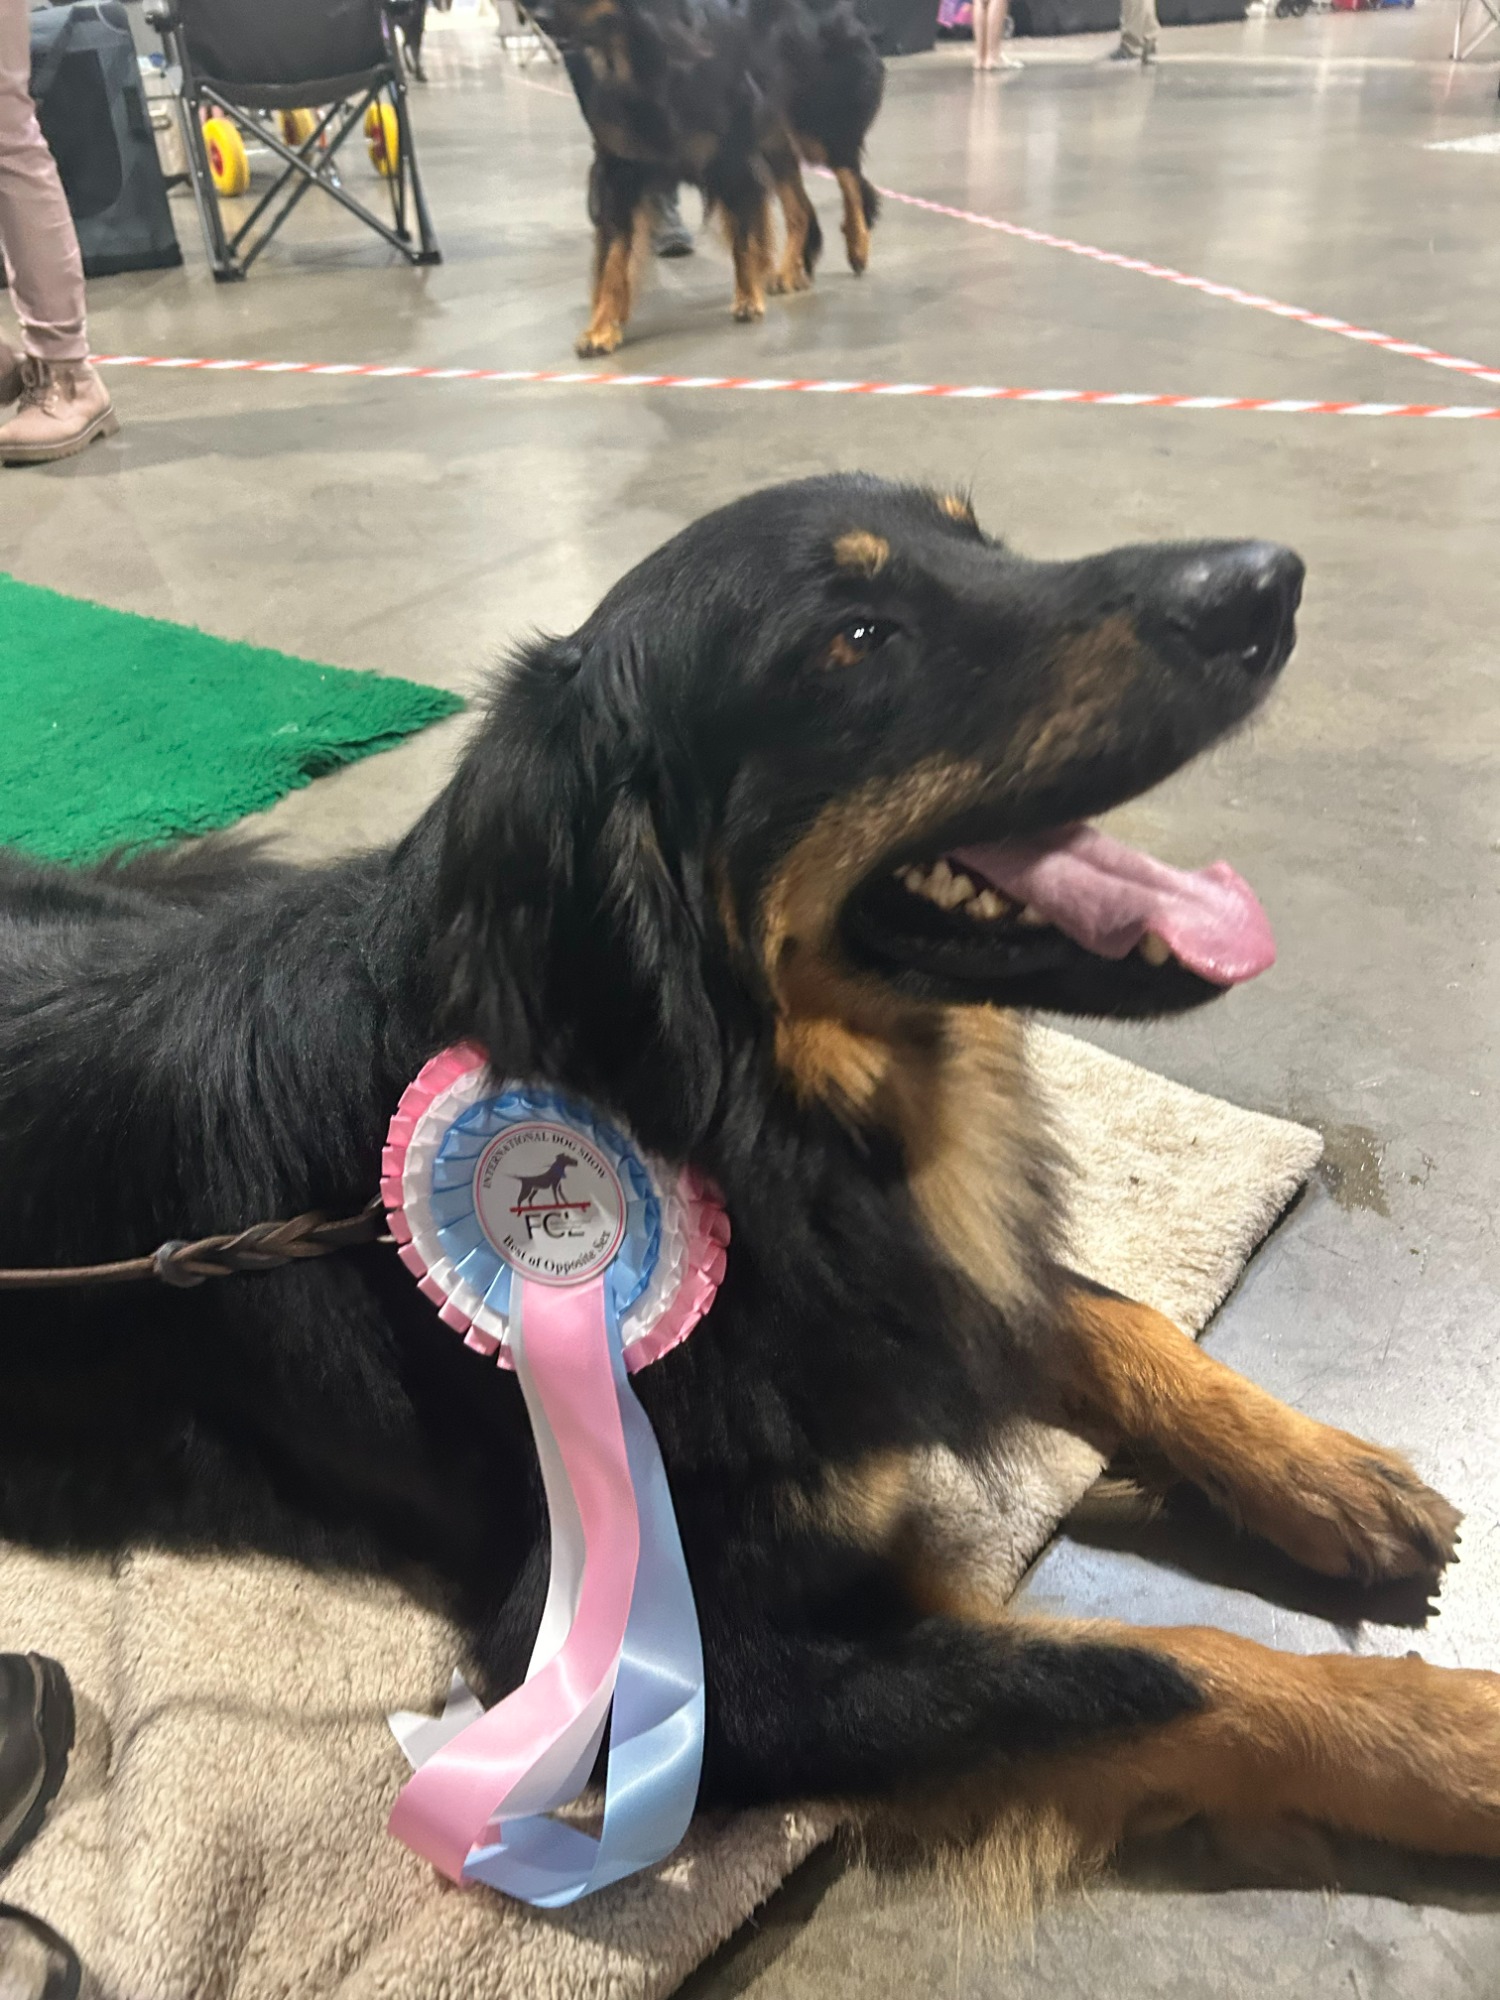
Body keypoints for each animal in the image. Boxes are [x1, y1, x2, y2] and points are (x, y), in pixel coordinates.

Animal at [1, 475, 1495, 1914]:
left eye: (984, 541)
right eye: (855, 640)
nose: (1270, 582)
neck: (708, 1098)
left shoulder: (892, 1275)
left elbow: (1101, 1314)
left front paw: (1318, 1466)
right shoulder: (630, 1660)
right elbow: (1142, 1668)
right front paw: (1450, 1735)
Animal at [538, 0, 884, 355]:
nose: (539, 17)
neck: (644, 51)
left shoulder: (732, 153)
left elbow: (744, 239)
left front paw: (748, 298)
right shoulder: (621, 169)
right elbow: (613, 258)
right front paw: (601, 327)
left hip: (814, 120)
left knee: (850, 175)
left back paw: (857, 246)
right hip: (773, 136)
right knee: (801, 208)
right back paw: (788, 271)